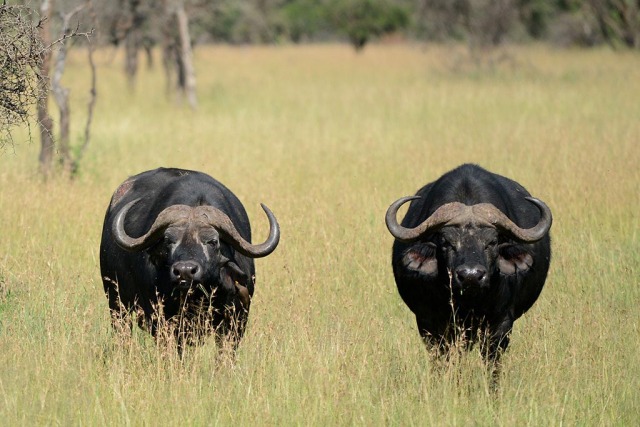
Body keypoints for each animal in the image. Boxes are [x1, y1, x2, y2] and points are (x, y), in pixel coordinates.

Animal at [385, 164, 552, 369]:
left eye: (492, 242)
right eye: (446, 242)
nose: (471, 276)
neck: (468, 302)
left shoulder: (501, 322)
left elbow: (492, 360)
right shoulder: (428, 320)